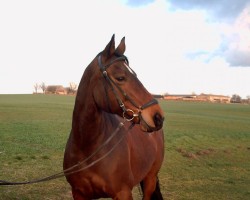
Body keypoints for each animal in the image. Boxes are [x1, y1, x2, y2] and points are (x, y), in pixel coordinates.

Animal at [63, 35, 164, 199]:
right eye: (121, 78)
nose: (158, 116)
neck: (87, 147)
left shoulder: (123, 193)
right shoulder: (78, 193)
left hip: (150, 179)